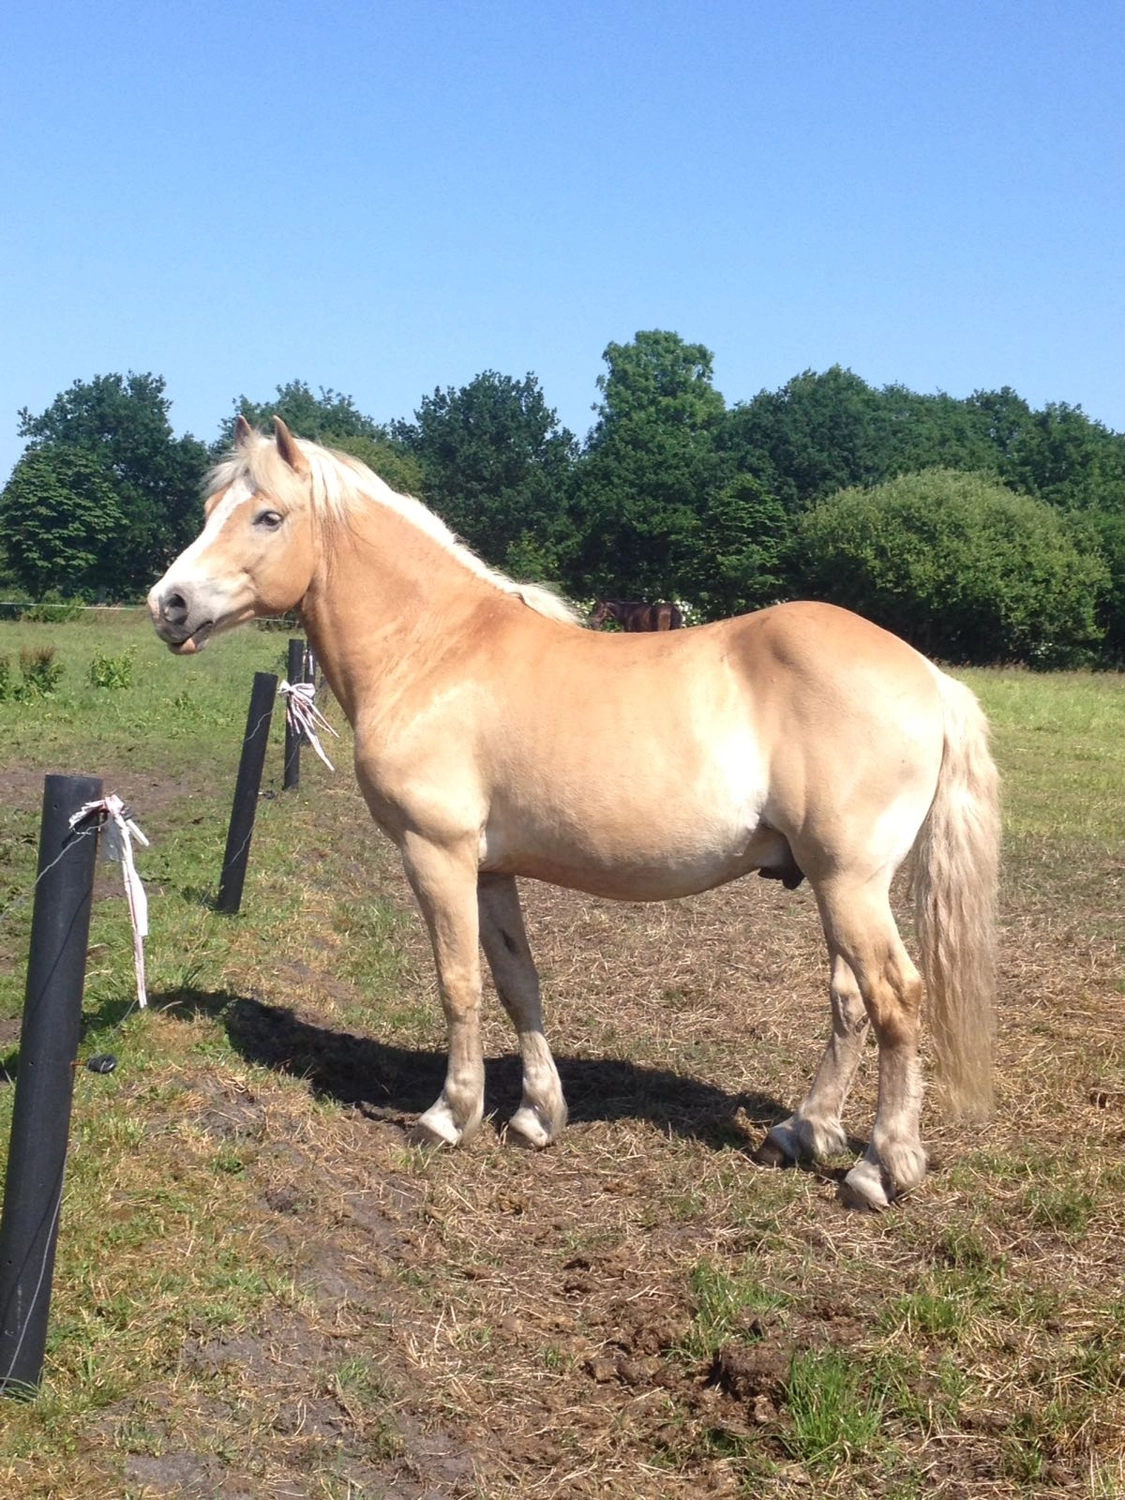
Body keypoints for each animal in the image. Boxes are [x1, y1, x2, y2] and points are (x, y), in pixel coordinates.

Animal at [149, 418, 1000, 1211]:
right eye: (210, 508)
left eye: (267, 516)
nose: (169, 605)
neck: (433, 652)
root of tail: (926, 674)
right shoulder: (489, 869)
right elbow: (515, 980)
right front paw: (535, 1115)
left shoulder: (435, 853)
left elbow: (457, 983)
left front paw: (447, 1117)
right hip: (834, 885)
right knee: (850, 1001)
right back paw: (800, 1132)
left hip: (849, 880)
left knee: (894, 998)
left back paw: (876, 1168)